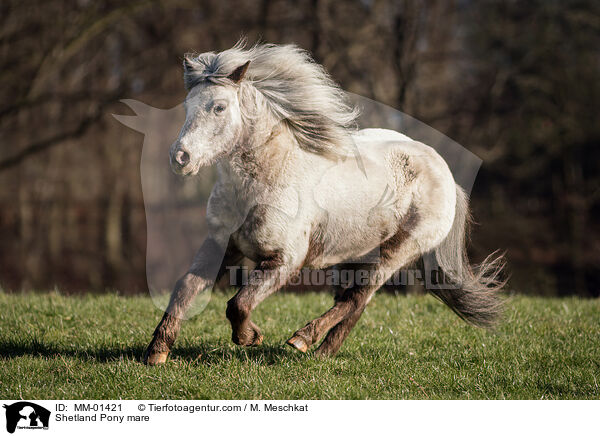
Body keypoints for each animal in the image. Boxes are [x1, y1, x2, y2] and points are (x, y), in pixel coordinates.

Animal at [143, 41, 504, 364]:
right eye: (187, 107)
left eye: (218, 107)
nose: (180, 158)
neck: (267, 180)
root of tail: (444, 173)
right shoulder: (221, 244)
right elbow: (186, 287)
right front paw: (157, 352)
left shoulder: (285, 261)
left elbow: (239, 303)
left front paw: (250, 338)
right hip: (352, 258)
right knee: (354, 303)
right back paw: (323, 353)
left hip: (396, 253)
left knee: (356, 298)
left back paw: (303, 340)